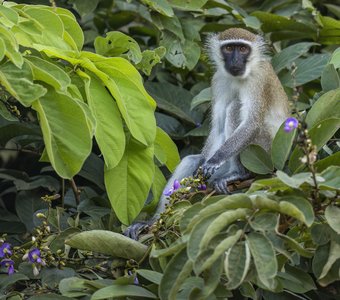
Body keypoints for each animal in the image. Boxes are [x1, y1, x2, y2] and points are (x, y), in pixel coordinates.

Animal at [126, 28, 288, 239]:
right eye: (229, 48)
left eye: (243, 49)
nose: (235, 61)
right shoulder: (218, 79)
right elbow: (217, 128)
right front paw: (204, 162)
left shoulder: (259, 80)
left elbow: (252, 124)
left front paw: (214, 160)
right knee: (191, 159)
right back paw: (153, 222)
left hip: (265, 151)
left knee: (235, 108)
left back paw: (239, 173)